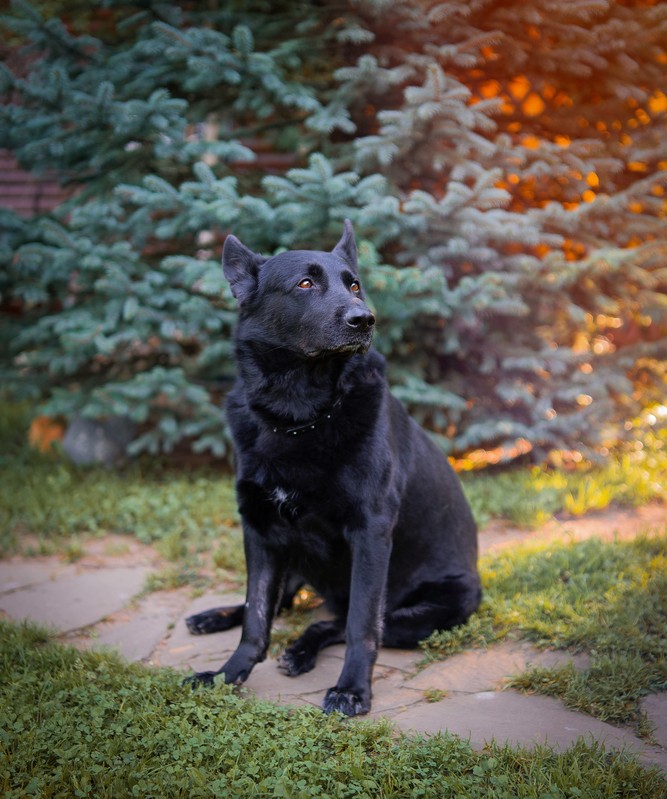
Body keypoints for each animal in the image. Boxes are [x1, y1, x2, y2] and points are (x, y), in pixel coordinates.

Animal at [185, 220, 482, 720]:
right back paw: (214, 617)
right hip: (291, 558)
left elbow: (362, 626)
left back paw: (302, 650)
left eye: (354, 284)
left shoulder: (370, 533)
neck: (298, 415)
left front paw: (352, 690)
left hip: (429, 612)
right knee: (281, 606)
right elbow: (256, 617)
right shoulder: (259, 529)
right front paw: (227, 675)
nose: (365, 319)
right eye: (306, 284)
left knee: (340, 622)